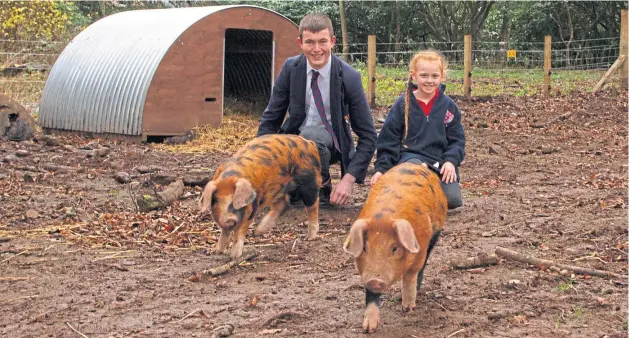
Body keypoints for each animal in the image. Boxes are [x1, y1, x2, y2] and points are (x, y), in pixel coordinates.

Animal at [344, 162, 446, 334]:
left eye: (394, 249)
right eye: (364, 248)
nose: (375, 280)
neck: (383, 217)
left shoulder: (421, 247)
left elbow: (411, 275)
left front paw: (408, 308)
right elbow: (371, 294)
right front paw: (368, 329)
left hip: (436, 232)